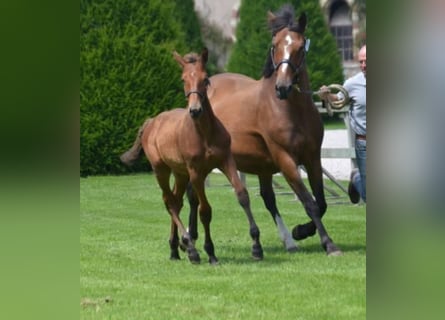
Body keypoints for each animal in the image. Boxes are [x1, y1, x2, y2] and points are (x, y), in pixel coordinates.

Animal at [119, 48, 262, 264]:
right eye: (183, 79)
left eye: (206, 79)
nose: (195, 110)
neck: (204, 133)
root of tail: (152, 121)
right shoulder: (196, 173)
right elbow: (205, 210)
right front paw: (210, 252)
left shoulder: (226, 161)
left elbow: (242, 195)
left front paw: (256, 246)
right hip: (161, 170)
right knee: (170, 202)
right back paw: (190, 248)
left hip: (180, 173)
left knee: (176, 201)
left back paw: (175, 249)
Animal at [186, 4, 340, 255]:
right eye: (274, 46)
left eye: (300, 47)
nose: (283, 87)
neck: (292, 109)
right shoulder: (286, 159)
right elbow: (310, 203)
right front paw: (328, 243)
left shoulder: (312, 158)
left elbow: (321, 202)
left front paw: (300, 231)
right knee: (192, 195)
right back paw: (189, 236)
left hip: (260, 165)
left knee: (268, 198)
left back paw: (288, 240)